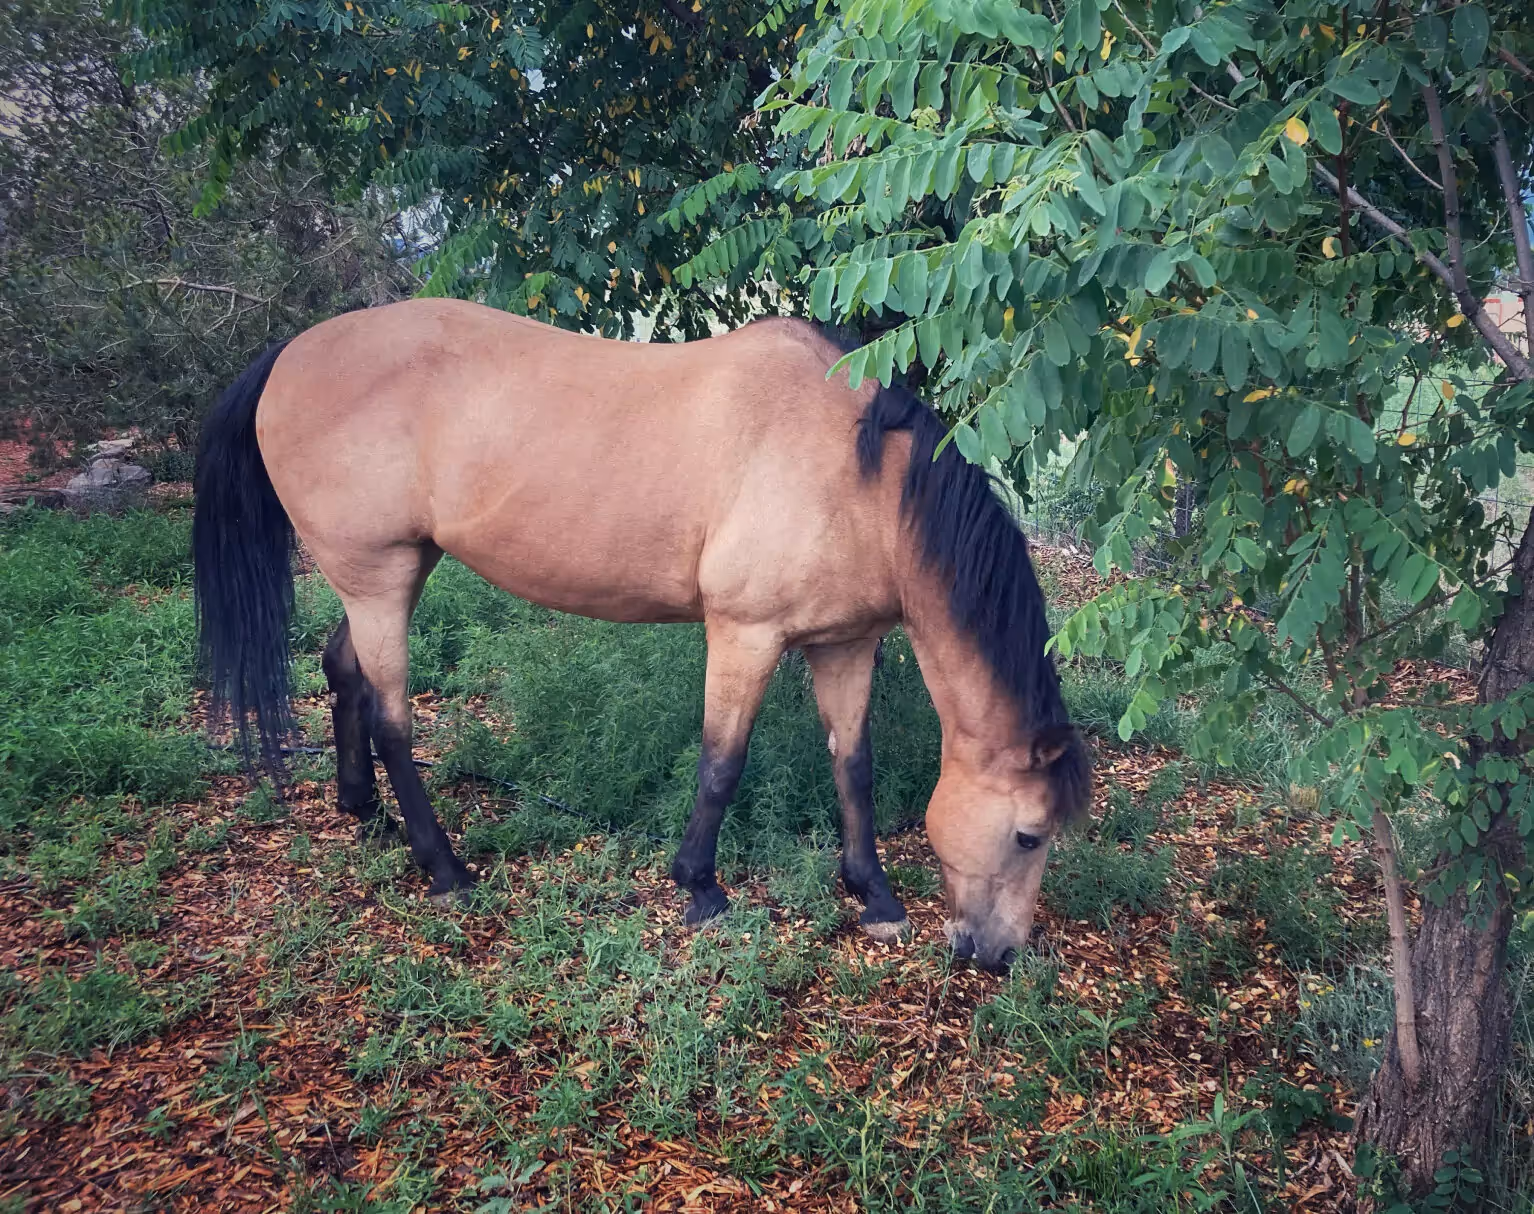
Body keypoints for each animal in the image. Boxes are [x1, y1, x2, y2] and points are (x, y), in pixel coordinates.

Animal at [192, 298, 1091, 972]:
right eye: (1028, 835)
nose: (998, 956)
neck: (855, 475)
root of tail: (289, 356)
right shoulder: (745, 635)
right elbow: (721, 764)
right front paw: (700, 888)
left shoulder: (845, 644)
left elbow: (853, 767)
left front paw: (871, 893)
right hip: (379, 581)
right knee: (392, 720)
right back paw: (444, 867)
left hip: (391, 576)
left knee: (339, 667)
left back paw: (362, 809)